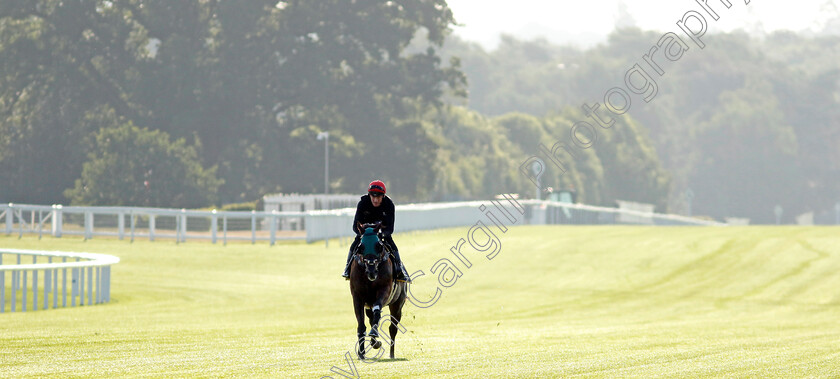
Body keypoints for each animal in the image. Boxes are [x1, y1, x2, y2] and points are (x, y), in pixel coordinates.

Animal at [350, 223, 408, 362]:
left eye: (379, 245)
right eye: (361, 246)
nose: (371, 271)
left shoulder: (384, 291)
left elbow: (377, 312)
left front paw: (375, 336)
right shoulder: (357, 297)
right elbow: (361, 325)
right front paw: (361, 353)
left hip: (397, 305)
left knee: (393, 328)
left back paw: (391, 354)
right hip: (368, 305)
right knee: (371, 320)